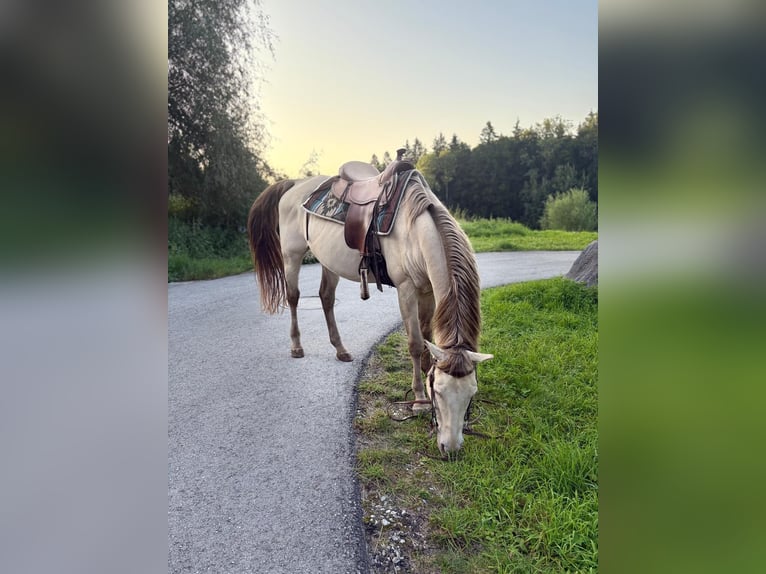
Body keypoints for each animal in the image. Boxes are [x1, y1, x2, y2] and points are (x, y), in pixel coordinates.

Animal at [247, 170, 493, 454]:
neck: (414, 229)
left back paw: (340, 349)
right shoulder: (406, 289)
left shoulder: (428, 290)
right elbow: (415, 343)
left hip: (328, 260)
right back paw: (296, 346)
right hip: (291, 254)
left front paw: (425, 375)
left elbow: (428, 337)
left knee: (326, 298)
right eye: (439, 391)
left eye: (472, 394)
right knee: (294, 297)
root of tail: (295, 184)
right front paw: (419, 399)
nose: (450, 448)